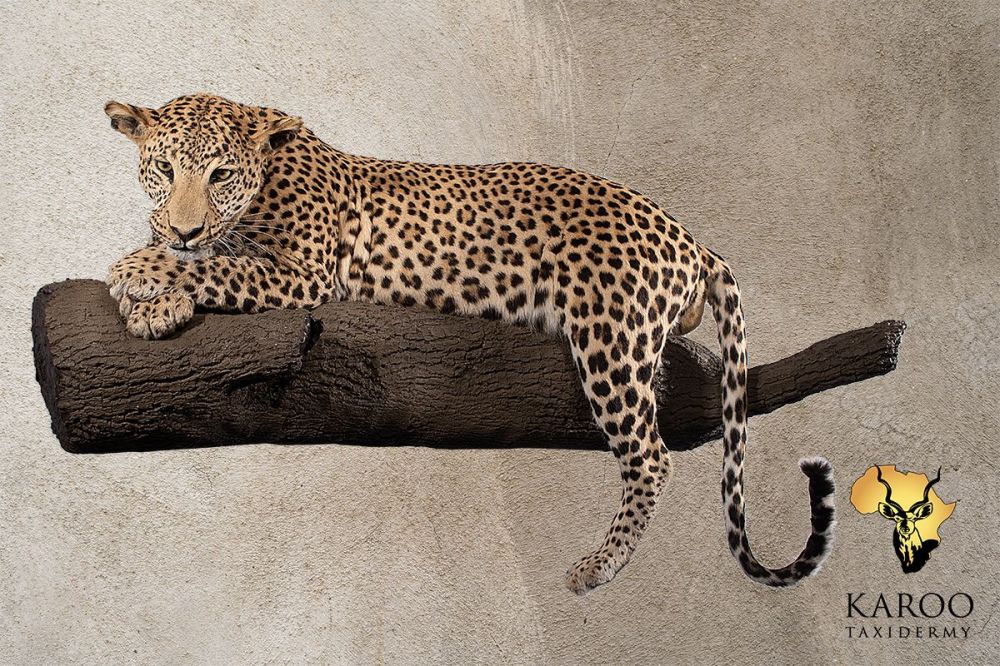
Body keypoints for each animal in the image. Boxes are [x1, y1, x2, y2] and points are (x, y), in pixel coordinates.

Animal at [104, 93, 836, 593]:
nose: (184, 226)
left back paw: (599, 564)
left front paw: (139, 272)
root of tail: (690, 236)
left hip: (612, 339)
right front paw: (154, 299)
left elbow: (217, 267)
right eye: (163, 169)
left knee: (651, 458)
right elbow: (199, 259)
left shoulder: (302, 274)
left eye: (221, 174)